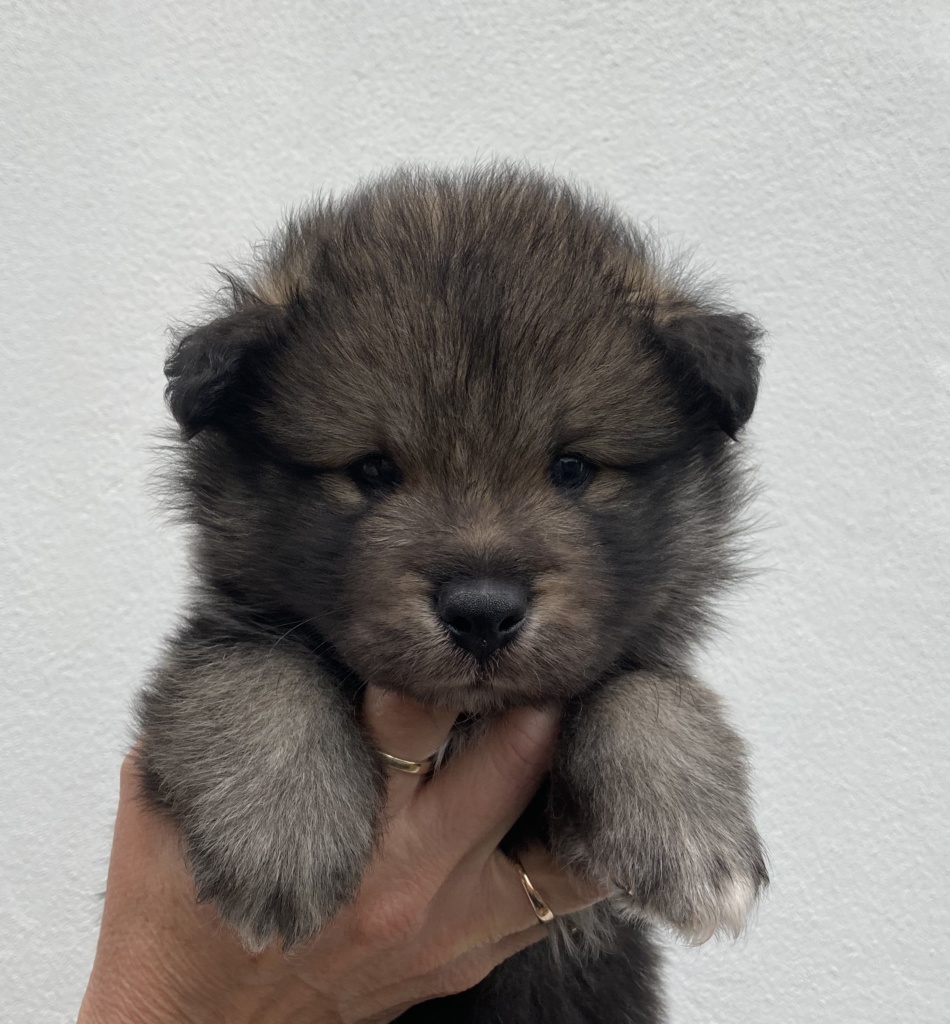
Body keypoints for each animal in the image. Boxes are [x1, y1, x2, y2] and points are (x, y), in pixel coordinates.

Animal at [137, 163, 769, 1019]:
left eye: (572, 469)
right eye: (373, 470)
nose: (482, 612)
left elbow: (646, 690)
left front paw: (687, 827)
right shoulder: (226, 631)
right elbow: (253, 675)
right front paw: (281, 834)